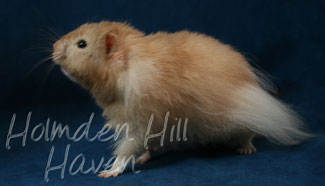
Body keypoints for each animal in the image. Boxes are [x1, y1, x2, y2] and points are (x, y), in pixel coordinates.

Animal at [52, 21, 310, 178]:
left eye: (82, 44)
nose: (54, 47)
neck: (124, 72)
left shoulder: (142, 120)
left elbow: (127, 149)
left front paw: (107, 173)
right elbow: (142, 147)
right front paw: (144, 158)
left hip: (242, 115)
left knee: (249, 132)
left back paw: (246, 150)